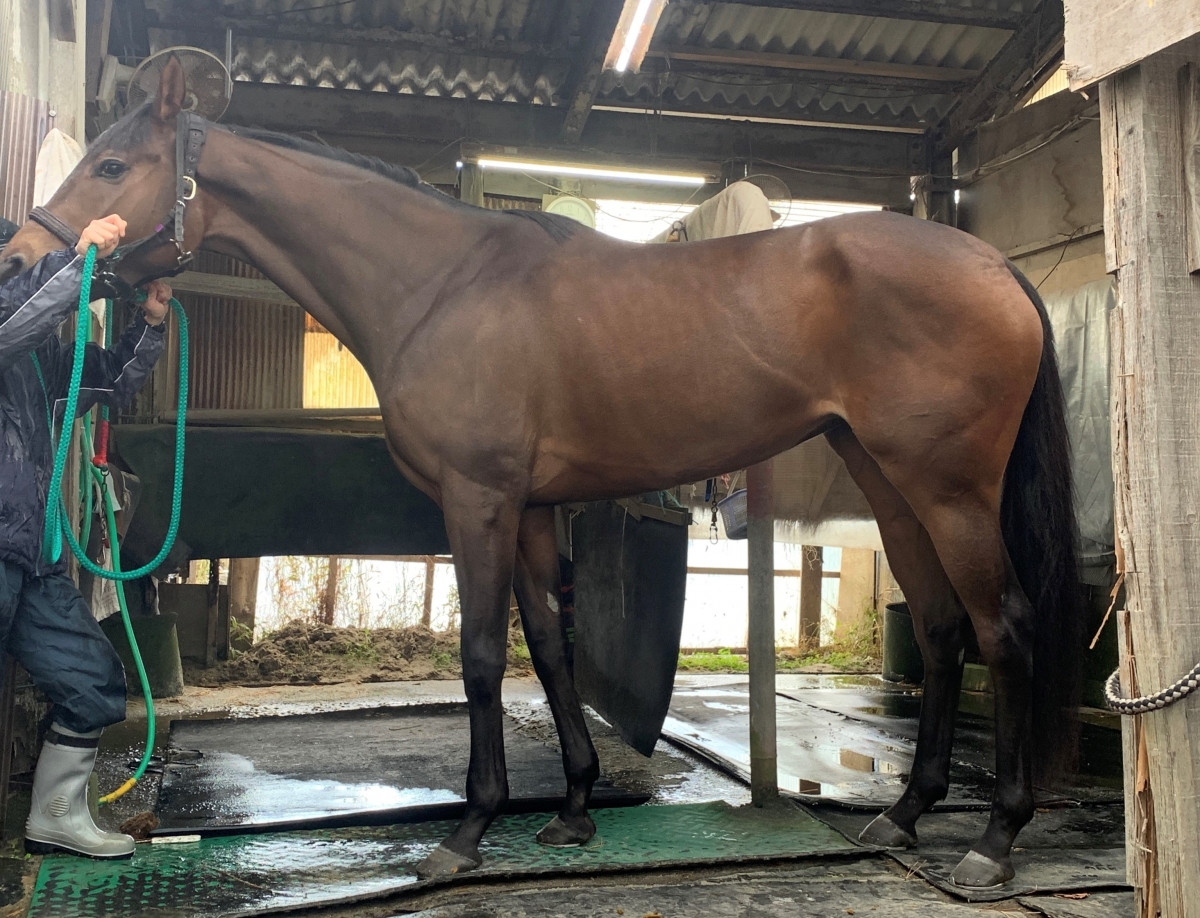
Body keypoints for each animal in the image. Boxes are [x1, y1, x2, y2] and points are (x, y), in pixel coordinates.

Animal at [1, 58, 1083, 889]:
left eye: (112, 163)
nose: (20, 257)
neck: (443, 284)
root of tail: (993, 266)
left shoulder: (476, 501)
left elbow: (483, 657)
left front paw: (468, 832)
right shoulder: (526, 509)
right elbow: (552, 655)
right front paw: (571, 810)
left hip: (951, 492)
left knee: (1006, 628)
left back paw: (994, 842)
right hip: (894, 486)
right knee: (941, 632)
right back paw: (904, 815)